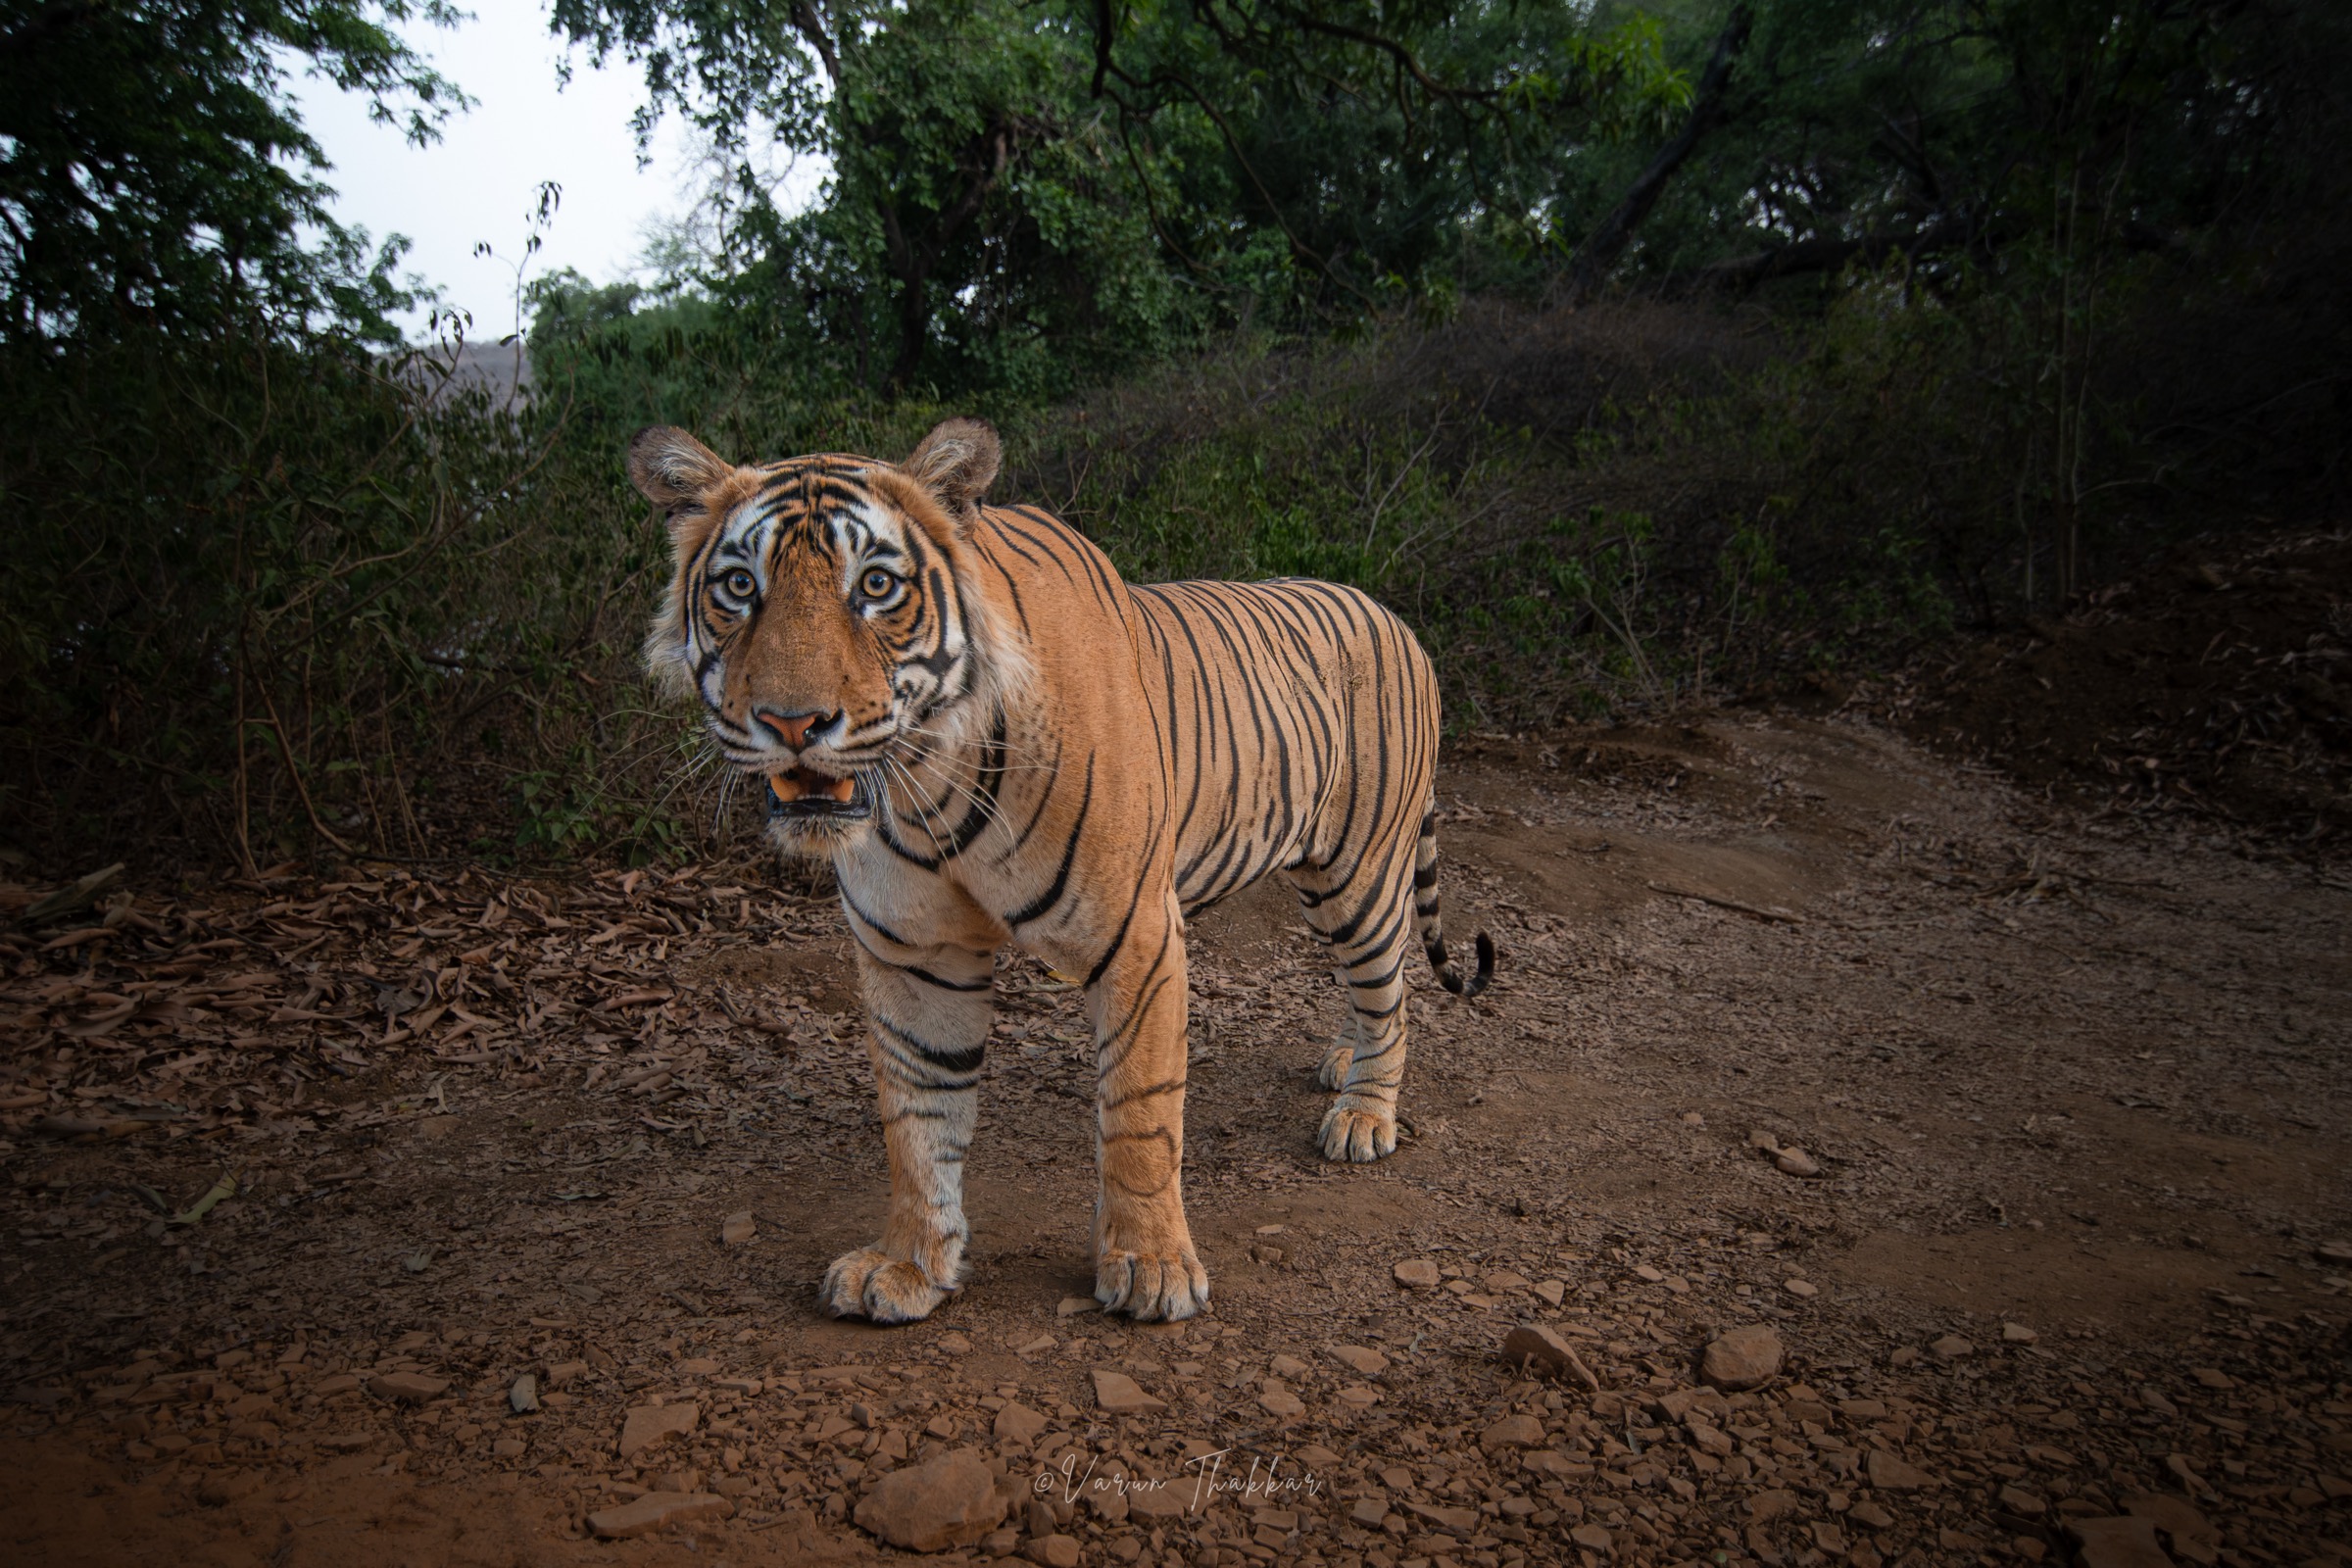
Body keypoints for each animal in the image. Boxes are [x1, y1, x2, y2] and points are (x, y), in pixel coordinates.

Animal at [630, 417, 1494, 1324]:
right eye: (738, 586)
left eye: (875, 586)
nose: (793, 723)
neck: (928, 788)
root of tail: (1393, 613)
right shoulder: (916, 957)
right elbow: (917, 1122)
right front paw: (908, 1263)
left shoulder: (1140, 935)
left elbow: (1140, 1113)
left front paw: (1151, 1268)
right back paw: (1342, 1062)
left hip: (1359, 872)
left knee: (1391, 990)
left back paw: (1363, 1113)